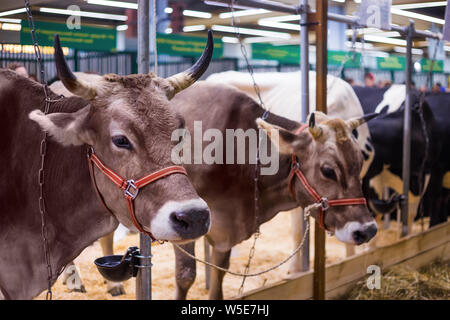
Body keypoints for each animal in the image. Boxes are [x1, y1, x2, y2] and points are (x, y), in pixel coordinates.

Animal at [169, 80, 376, 300]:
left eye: (360, 162)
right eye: (328, 171)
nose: (368, 230)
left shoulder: (223, 232)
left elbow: (220, 275)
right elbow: (185, 275)